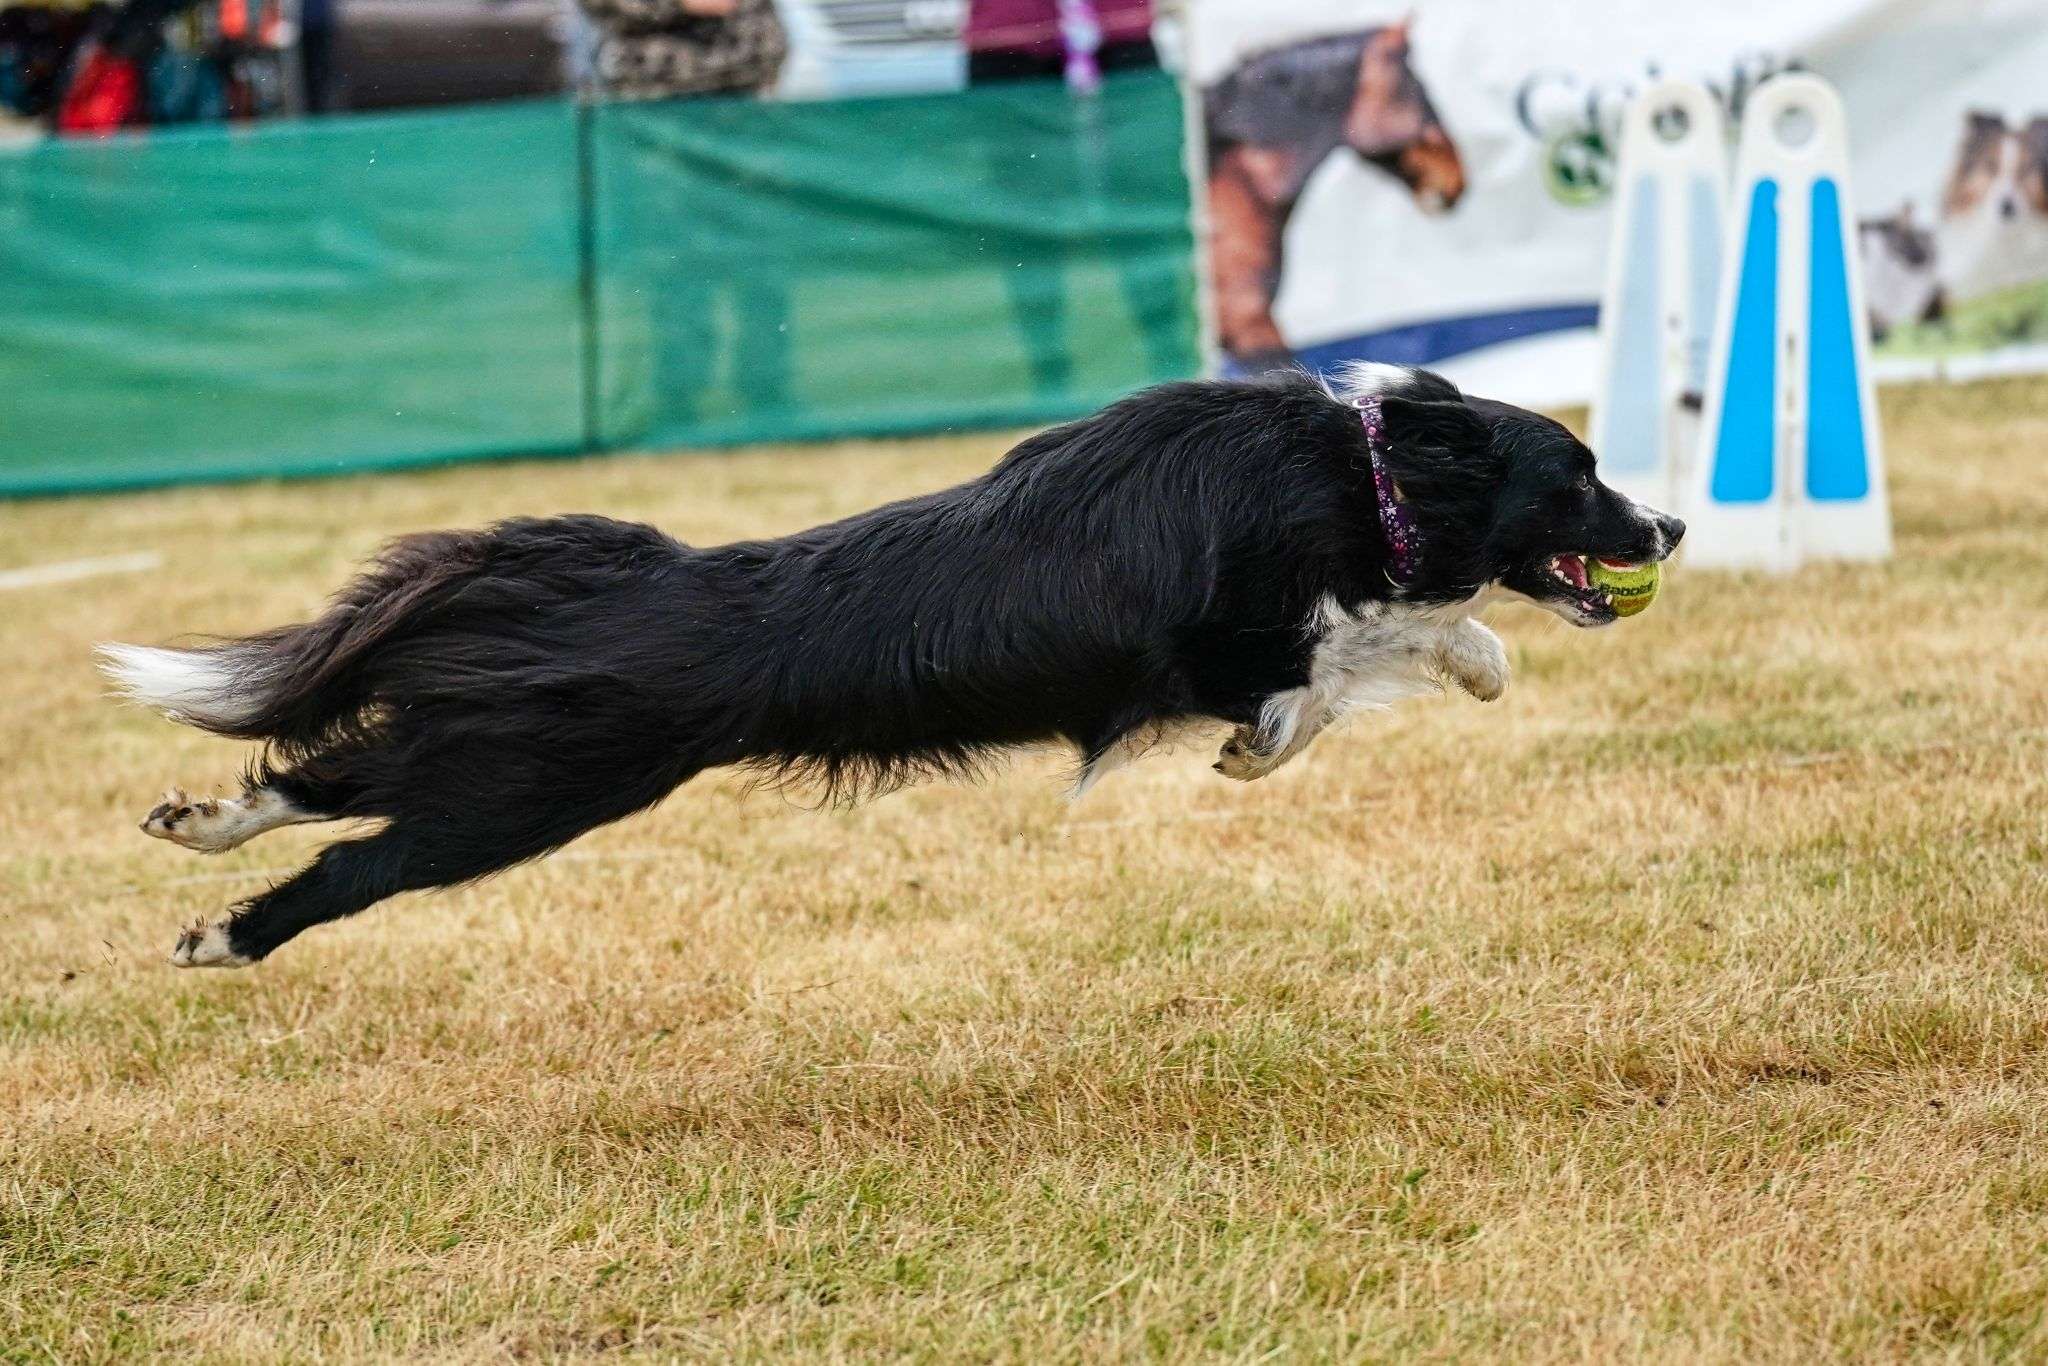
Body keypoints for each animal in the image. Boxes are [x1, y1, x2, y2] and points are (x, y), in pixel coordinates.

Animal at [102, 365, 1682, 968]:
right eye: (1579, 474)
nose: (1670, 524)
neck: (1360, 473)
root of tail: (631, 571)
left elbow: (1416, 631)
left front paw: (1464, 662)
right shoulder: (1229, 638)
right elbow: (1366, 648)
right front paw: (1286, 737)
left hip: (501, 754)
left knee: (319, 778)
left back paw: (197, 830)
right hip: (531, 789)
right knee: (351, 857)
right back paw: (225, 934)